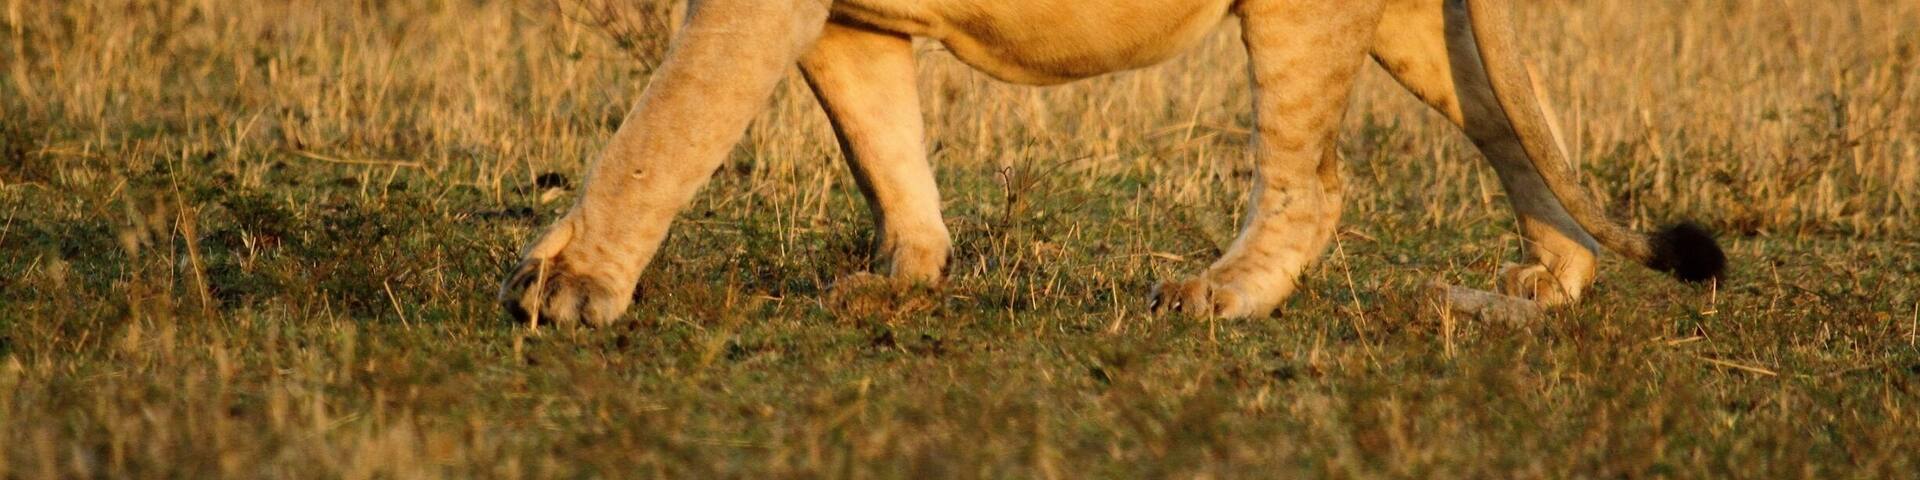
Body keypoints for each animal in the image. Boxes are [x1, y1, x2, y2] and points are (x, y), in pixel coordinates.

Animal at [500, 0, 1726, 326]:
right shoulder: (853, 26)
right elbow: (884, 148)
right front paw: (904, 276)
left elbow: (664, 128)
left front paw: (568, 286)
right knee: (1516, 116)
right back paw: (1551, 281)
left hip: (1301, 13)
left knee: (1315, 185)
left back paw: (1216, 296)